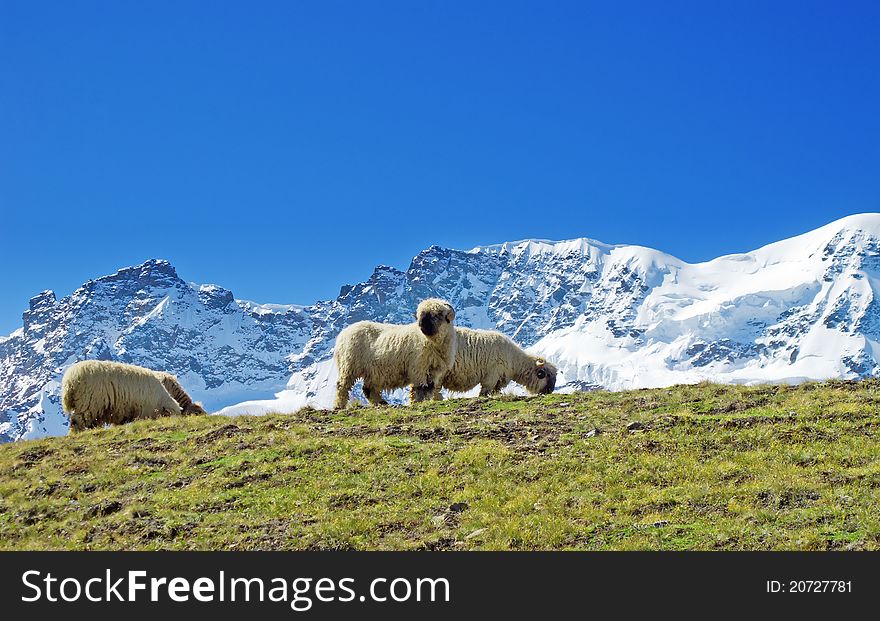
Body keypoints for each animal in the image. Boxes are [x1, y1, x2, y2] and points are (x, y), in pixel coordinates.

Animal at [430, 324, 560, 398]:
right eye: (547, 375)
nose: (550, 391)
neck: (514, 360)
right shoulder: (492, 375)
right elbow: (485, 391)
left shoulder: (499, 379)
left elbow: (495, 391)